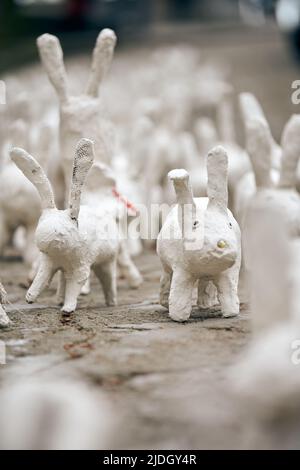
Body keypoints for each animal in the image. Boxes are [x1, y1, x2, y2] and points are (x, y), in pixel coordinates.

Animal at [10, 140, 120, 316]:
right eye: (40, 224)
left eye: (60, 233)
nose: (43, 242)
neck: (62, 254)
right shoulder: (49, 261)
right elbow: (41, 278)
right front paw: (29, 297)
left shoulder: (81, 266)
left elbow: (75, 286)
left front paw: (67, 309)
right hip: (67, 268)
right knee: (63, 279)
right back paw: (58, 299)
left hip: (107, 260)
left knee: (108, 279)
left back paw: (111, 302)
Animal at [157, 146, 241, 324]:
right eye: (195, 224)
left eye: (229, 225)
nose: (221, 244)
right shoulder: (182, 272)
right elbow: (179, 297)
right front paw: (178, 317)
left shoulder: (227, 273)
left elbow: (229, 293)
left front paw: (231, 313)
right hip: (167, 266)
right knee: (166, 280)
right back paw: (165, 303)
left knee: (205, 282)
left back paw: (206, 304)